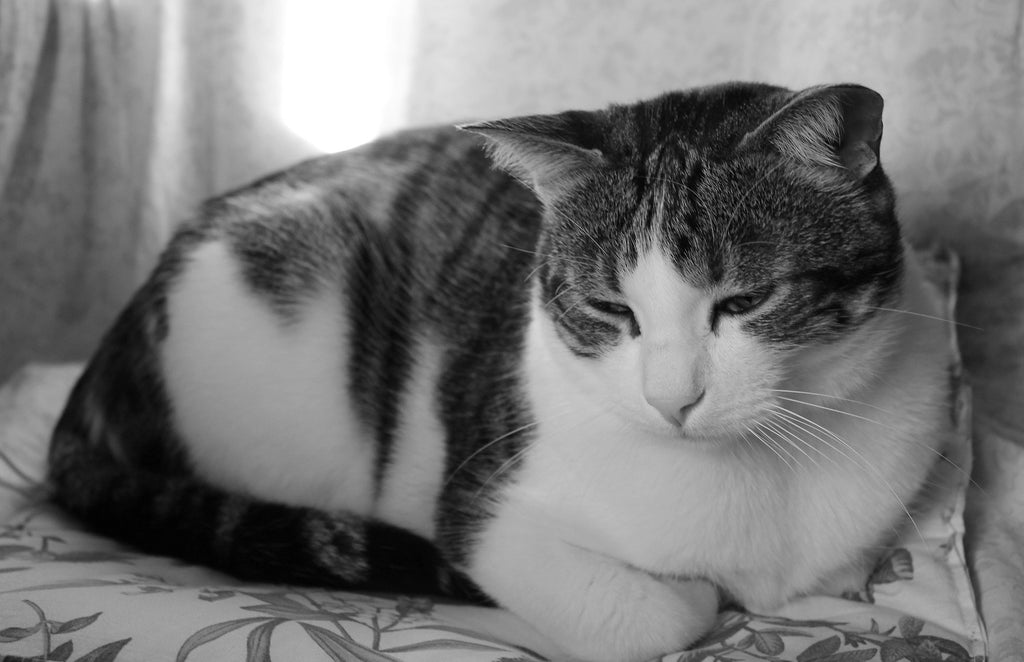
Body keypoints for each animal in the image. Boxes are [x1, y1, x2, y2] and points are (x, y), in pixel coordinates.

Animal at [48, 83, 950, 662]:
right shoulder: (485, 510)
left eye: (747, 300)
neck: (760, 472)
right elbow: (651, 615)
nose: (673, 401)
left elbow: (836, 580)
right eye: (609, 309)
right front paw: (696, 598)